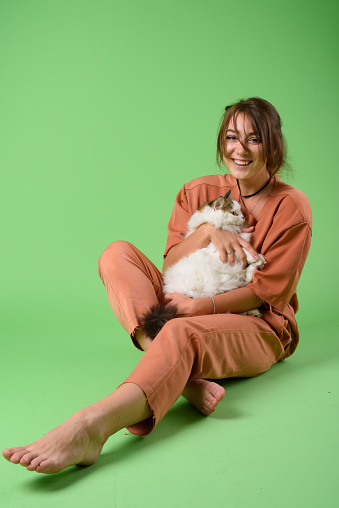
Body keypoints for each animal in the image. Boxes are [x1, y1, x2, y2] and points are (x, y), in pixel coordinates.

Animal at [142, 189, 266, 340]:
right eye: (233, 213)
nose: (243, 217)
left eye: (240, 212)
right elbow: (244, 250)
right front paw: (255, 257)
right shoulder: (221, 250)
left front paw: (256, 258)